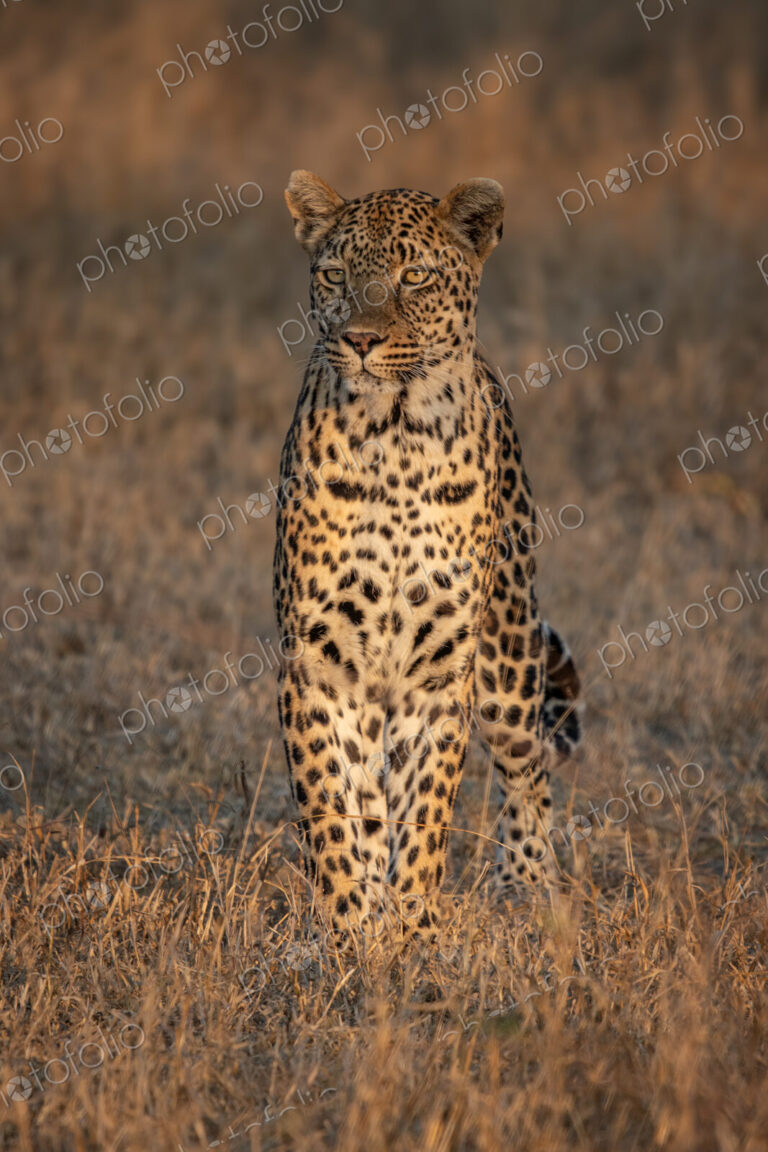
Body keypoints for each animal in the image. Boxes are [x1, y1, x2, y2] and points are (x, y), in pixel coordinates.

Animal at [273, 171, 581, 941]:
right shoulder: (319, 664)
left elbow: (426, 814)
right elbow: (334, 808)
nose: (358, 339)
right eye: (334, 275)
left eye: (414, 277)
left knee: (528, 768)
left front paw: (412, 930)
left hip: (508, 653)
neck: (396, 439)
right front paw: (352, 932)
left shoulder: (440, 674)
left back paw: (528, 888)